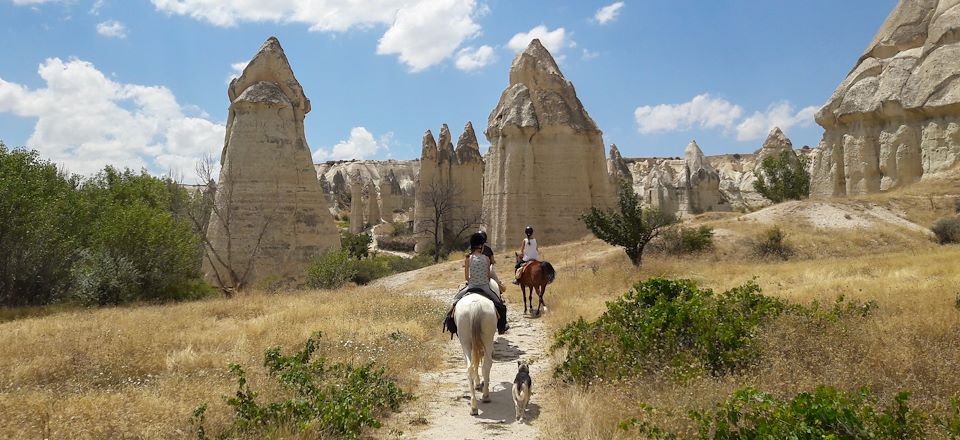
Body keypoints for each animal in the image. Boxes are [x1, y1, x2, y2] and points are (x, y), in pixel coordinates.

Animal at [456, 282, 502, 416]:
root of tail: (475, 305)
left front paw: (477, 384)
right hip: (486, 339)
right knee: (485, 365)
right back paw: (483, 398)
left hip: (466, 342)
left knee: (471, 368)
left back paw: (475, 405)